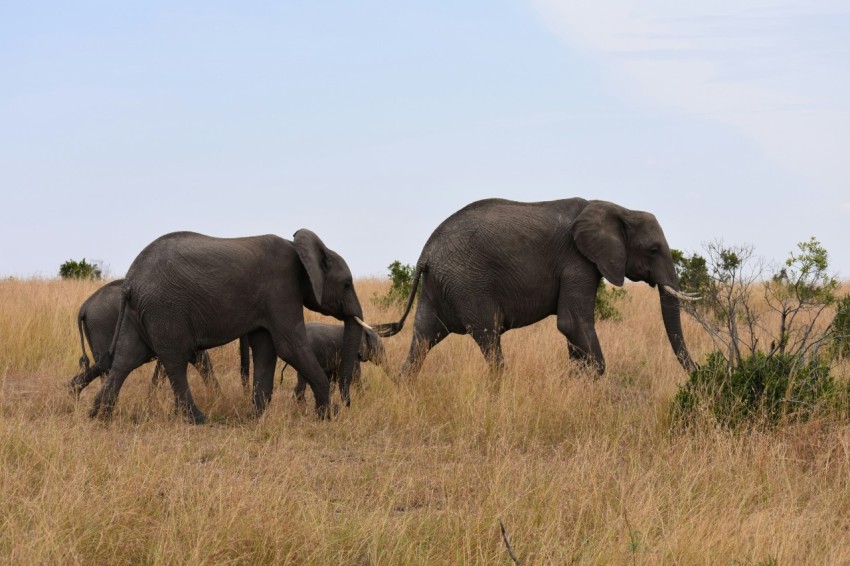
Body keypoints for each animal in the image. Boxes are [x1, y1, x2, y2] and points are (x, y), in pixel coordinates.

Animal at [89, 229, 369, 424]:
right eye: (346, 284)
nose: (346, 404)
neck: (301, 250)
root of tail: (130, 281)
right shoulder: (282, 290)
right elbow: (290, 346)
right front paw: (327, 415)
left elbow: (266, 349)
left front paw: (256, 417)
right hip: (164, 309)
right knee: (175, 360)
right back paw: (198, 420)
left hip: (138, 312)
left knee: (126, 359)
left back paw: (99, 415)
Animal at [375, 198, 698, 377]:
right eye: (653, 249)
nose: (697, 372)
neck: (617, 208)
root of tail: (425, 254)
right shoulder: (577, 262)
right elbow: (572, 323)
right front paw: (589, 380)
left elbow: (572, 331)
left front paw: (577, 381)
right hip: (467, 284)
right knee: (489, 337)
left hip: (436, 287)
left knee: (423, 338)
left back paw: (403, 387)